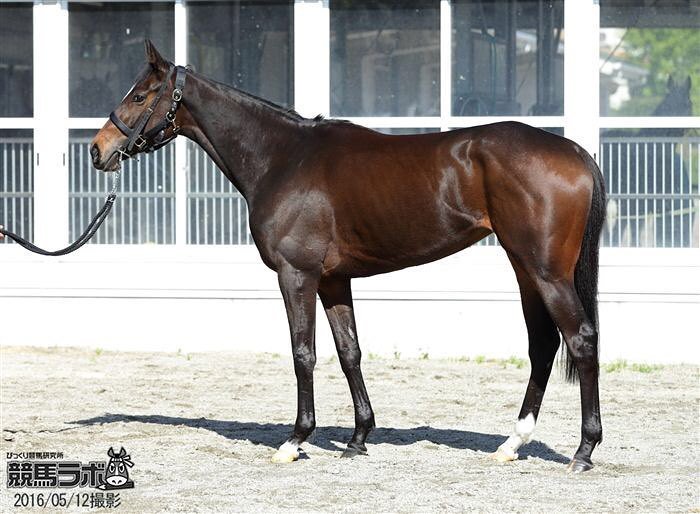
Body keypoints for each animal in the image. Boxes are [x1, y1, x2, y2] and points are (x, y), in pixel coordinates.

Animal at [91, 40, 606, 473]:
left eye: (140, 95)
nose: (98, 151)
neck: (283, 157)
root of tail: (575, 151)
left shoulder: (296, 275)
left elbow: (303, 353)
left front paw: (295, 440)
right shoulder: (334, 281)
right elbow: (349, 352)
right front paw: (358, 438)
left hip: (546, 273)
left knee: (580, 340)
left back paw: (583, 451)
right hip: (525, 270)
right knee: (543, 346)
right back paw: (512, 444)